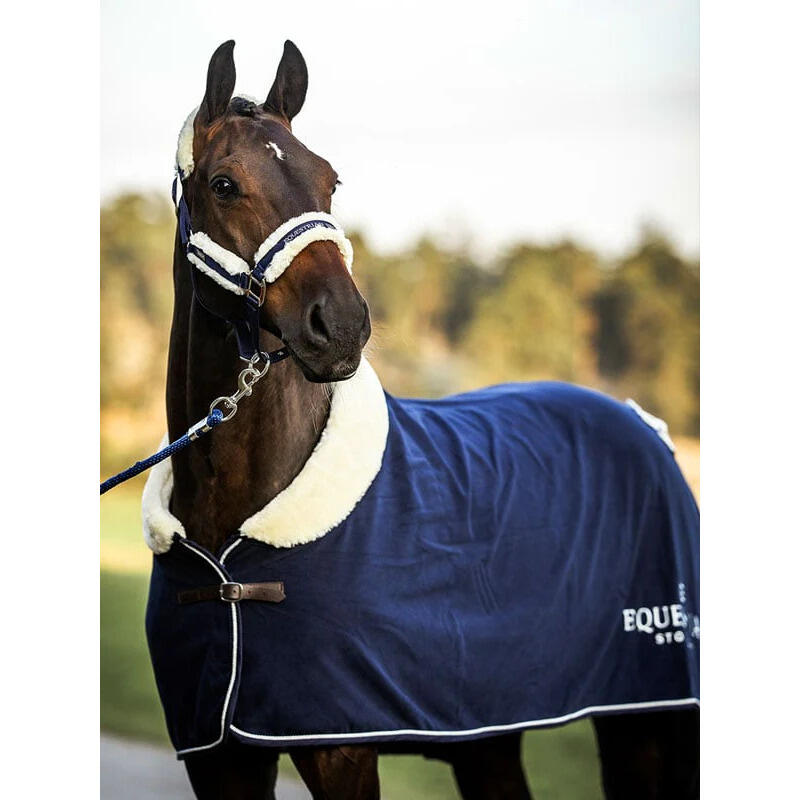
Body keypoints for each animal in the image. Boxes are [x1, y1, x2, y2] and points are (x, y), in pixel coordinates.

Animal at [143, 39, 700, 799]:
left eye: (331, 181)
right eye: (225, 184)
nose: (341, 325)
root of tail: (646, 425)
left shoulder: (339, 749)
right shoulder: (218, 755)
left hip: (645, 719)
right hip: (490, 739)